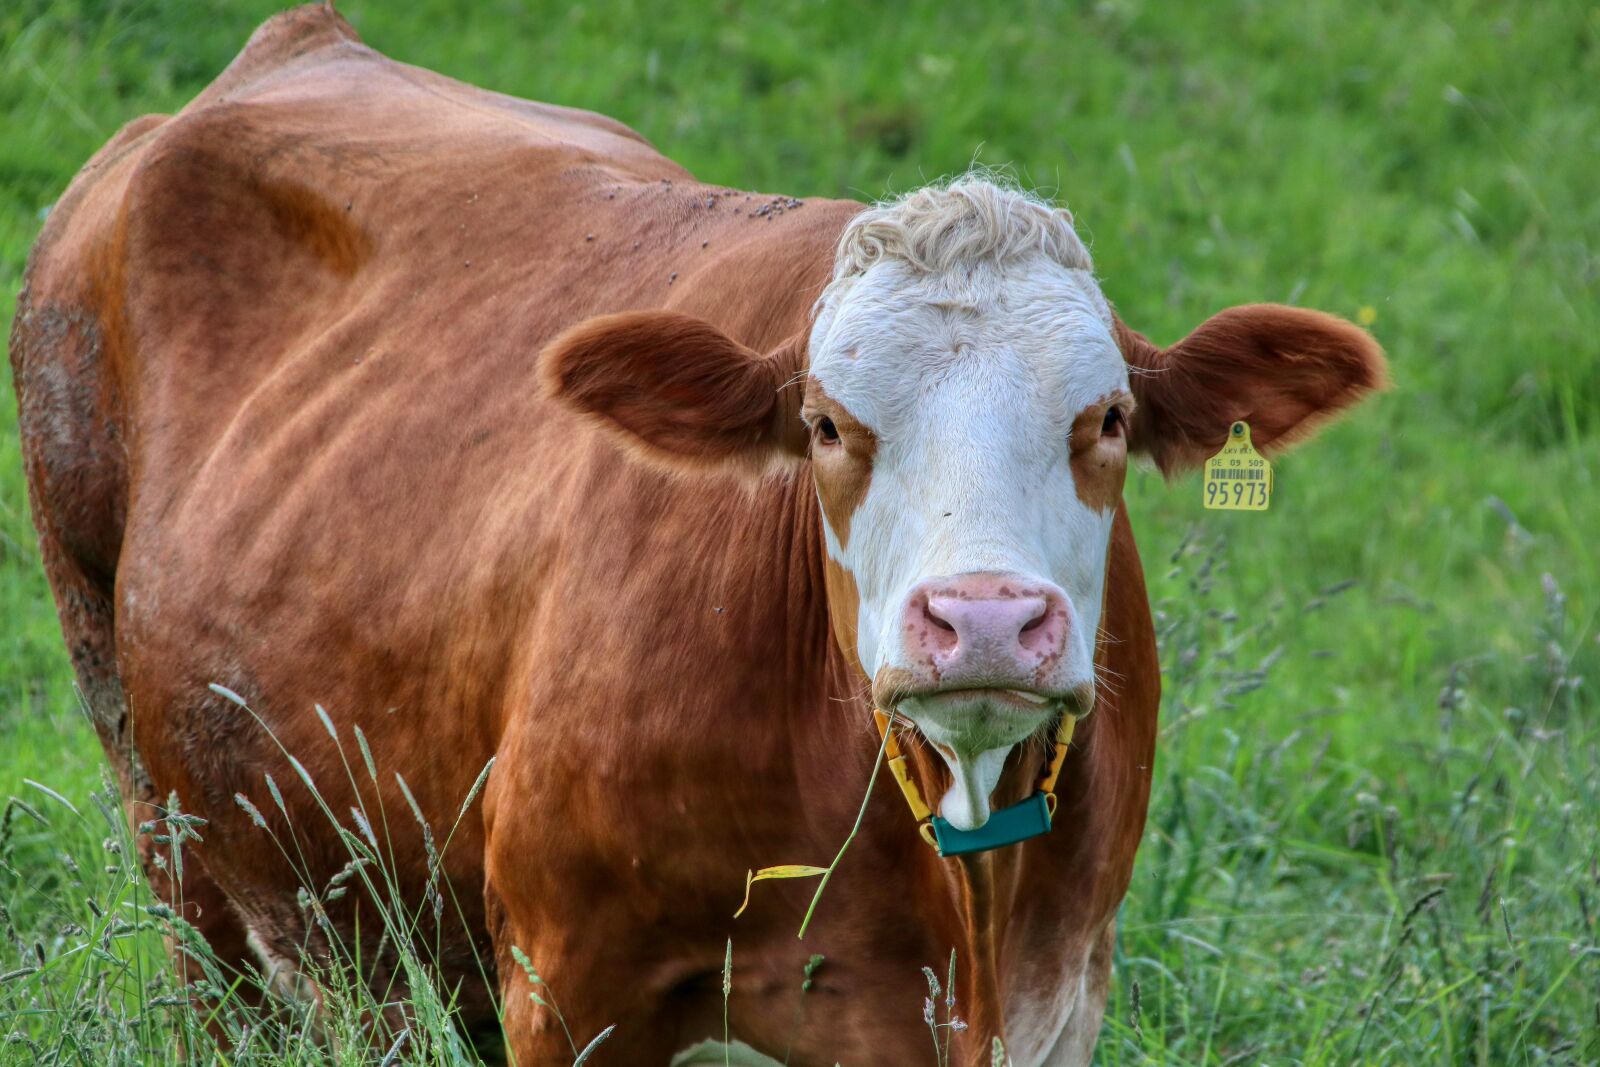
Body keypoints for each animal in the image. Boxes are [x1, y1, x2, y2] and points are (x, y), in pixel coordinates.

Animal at [9, 5, 1385, 1064]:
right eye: (824, 423)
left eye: (1104, 417)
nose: (984, 619)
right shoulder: (567, 984)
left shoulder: (1062, 992)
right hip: (165, 812)